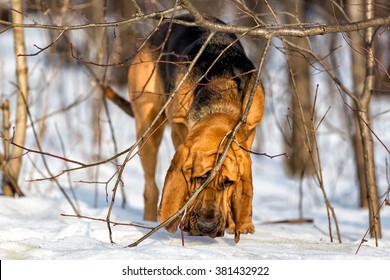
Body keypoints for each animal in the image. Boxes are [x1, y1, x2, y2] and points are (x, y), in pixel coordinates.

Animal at [128, 14, 266, 241]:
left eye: (228, 183)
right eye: (199, 178)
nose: (206, 226)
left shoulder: (251, 128)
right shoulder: (179, 126)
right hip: (147, 127)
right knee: (151, 188)